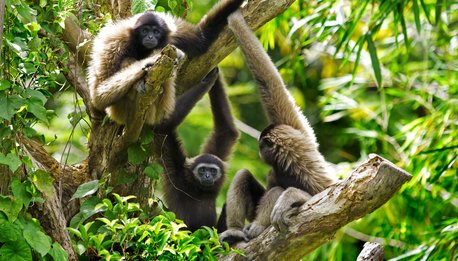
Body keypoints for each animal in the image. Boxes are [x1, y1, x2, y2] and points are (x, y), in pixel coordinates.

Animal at [89, 0, 247, 125]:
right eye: (145, 31)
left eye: (156, 31)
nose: (150, 37)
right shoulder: (114, 42)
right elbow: (98, 96)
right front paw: (151, 60)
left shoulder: (174, 31)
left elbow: (203, 39)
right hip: (120, 110)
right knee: (127, 61)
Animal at [154, 67, 240, 230]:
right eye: (202, 170)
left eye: (212, 171)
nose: (207, 176)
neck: (197, 189)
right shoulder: (177, 171)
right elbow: (163, 125)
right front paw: (207, 81)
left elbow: (226, 131)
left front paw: (215, 74)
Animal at [218, 9, 336, 242]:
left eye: (260, 146)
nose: (258, 151)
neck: (286, 162)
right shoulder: (297, 129)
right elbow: (269, 83)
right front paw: (235, 19)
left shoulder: (308, 168)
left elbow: (327, 194)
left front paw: (289, 197)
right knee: (243, 175)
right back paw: (235, 230)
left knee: (275, 190)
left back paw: (257, 227)